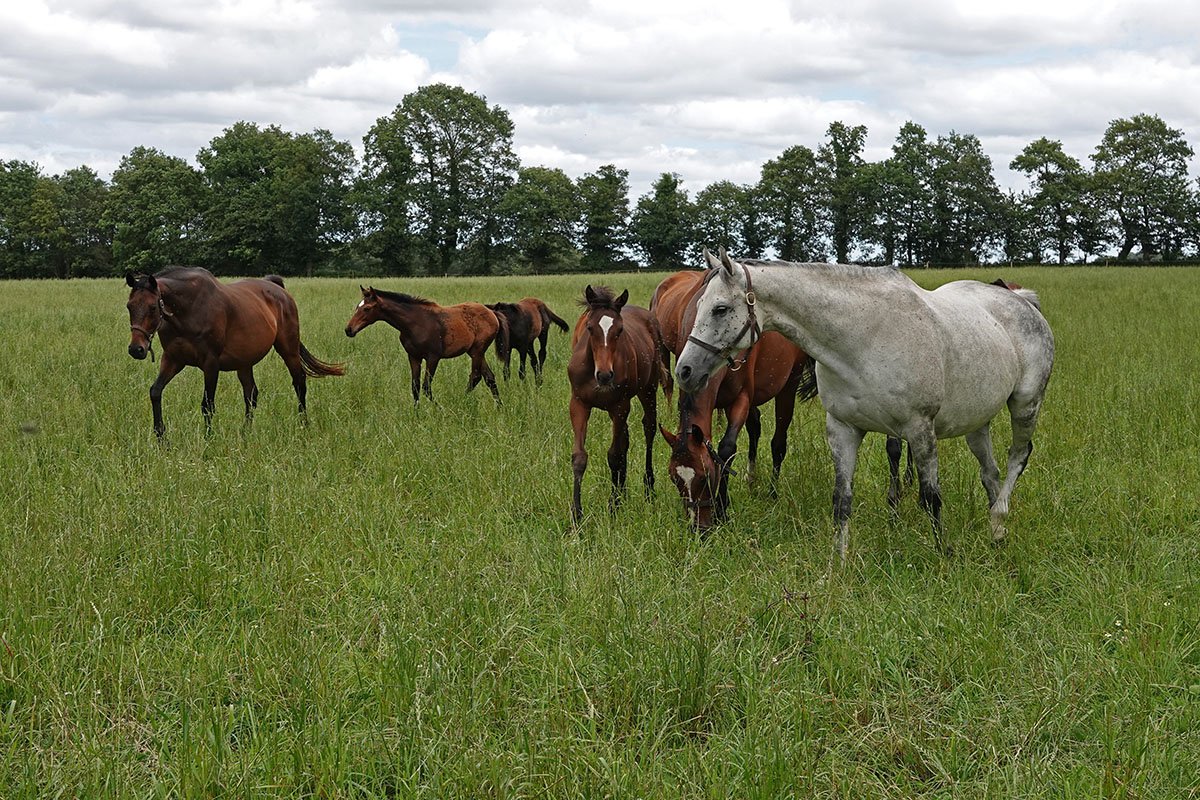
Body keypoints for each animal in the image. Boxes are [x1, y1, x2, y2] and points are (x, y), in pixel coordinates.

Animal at [124, 267, 345, 438]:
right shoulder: (173, 359)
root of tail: (277, 288)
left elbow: (207, 404)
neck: (190, 309)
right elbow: (155, 392)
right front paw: (161, 436)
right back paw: (246, 431)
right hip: (244, 362)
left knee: (299, 383)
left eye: (153, 307)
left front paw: (209, 438)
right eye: (129, 306)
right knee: (251, 394)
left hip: (288, 349)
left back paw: (303, 424)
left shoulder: (210, 363)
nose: (136, 349)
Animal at [344, 286, 508, 404]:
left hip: (477, 350)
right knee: (489, 377)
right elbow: (415, 387)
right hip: (474, 351)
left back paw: (462, 401)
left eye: (367, 308)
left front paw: (438, 409)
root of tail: (492, 313)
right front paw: (415, 414)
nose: (349, 329)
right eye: (357, 307)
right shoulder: (413, 357)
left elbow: (426, 387)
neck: (414, 323)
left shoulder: (433, 357)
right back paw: (499, 406)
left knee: (476, 376)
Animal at [567, 285, 670, 524]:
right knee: (625, 439)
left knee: (649, 427)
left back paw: (648, 489)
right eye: (589, 327)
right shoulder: (578, 404)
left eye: (620, 330)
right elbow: (579, 457)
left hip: (647, 390)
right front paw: (577, 515)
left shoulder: (619, 406)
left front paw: (613, 506)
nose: (605, 375)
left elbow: (614, 455)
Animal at [651, 270, 818, 530]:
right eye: (674, 478)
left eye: (705, 477)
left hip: (789, 385)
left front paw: (722, 509)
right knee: (755, 426)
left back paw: (772, 492)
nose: (698, 527)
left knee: (778, 441)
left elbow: (726, 449)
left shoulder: (740, 400)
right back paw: (751, 479)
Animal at [675, 249, 1054, 559]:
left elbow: (931, 498)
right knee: (990, 472)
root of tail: (1021, 299)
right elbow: (841, 501)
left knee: (1018, 456)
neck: (864, 336)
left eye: (721, 309)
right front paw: (838, 564)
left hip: (1025, 405)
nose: (684, 370)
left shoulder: (920, 429)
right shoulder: (843, 429)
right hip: (977, 423)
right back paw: (996, 530)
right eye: (698, 305)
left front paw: (942, 555)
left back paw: (1000, 517)